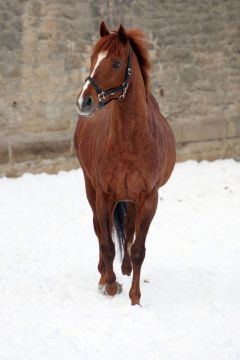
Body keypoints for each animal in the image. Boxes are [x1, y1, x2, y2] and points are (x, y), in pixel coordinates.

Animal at [74, 21, 175, 304]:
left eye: (116, 63)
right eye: (92, 59)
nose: (84, 101)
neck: (130, 142)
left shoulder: (149, 198)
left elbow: (138, 248)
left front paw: (135, 297)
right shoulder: (104, 195)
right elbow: (106, 243)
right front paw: (110, 285)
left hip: (131, 199)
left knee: (128, 231)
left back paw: (126, 268)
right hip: (91, 187)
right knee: (99, 230)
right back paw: (103, 276)